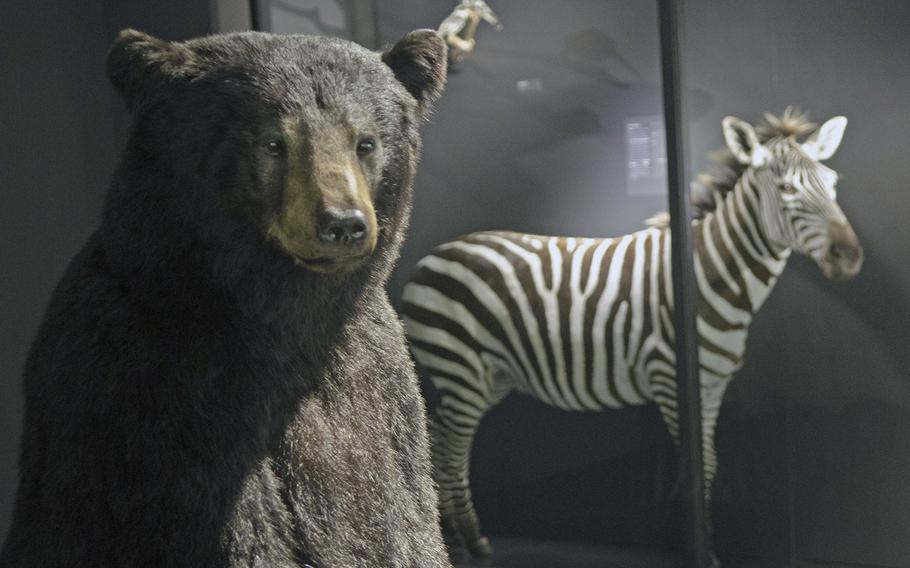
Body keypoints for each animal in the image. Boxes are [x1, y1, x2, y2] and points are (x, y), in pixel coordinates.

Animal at [0, 27, 452, 568]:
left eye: (365, 142)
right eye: (273, 142)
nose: (343, 224)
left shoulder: (383, 387)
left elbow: (402, 513)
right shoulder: (157, 395)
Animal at [402, 110, 864, 560]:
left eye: (833, 184)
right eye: (786, 188)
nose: (850, 257)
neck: (708, 274)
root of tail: (429, 257)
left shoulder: (713, 384)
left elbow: (711, 463)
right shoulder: (671, 378)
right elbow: (695, 464)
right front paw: (697, 549)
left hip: (487, 376)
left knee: (440, 437)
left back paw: (452, 535)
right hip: (460, 366)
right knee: (452, 445)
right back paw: (468, 537)